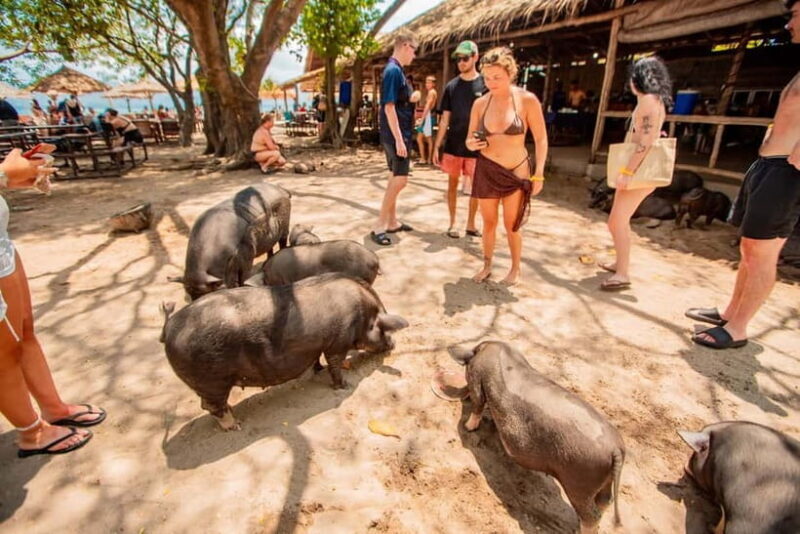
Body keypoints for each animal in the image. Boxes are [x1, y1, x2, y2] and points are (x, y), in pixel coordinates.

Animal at [160, 273, 408, 430]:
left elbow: (317, 361)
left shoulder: (315, 347)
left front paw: (318, 370)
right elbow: (335, 365)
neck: (362, 315)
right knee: (210, 406)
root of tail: (170, 327)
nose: (394, 344)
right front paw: (343, 386)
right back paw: (236, 426)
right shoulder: (337, 343)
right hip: (212, 381)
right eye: (384, 330)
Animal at [452, 341, 625, 533]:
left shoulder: (477, 378)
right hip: (603, 480)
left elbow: (477, 404)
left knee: (592, 515)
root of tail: (615, 448)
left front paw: (467, 427)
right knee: (605, 502)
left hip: (580, 482)